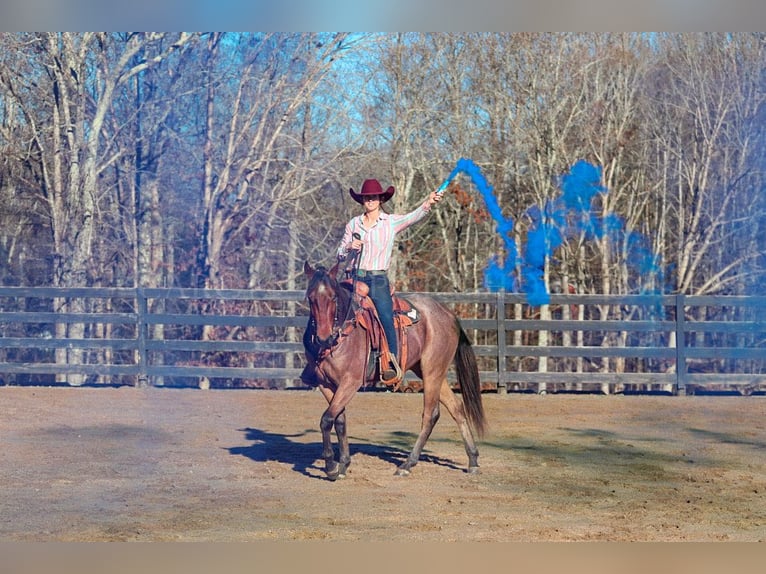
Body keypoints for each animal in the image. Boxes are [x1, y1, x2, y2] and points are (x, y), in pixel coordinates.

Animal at [304, 260, 488, 482]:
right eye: (310, 298)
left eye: (332, 297)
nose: (322, 338)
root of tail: (449, 315)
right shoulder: (326, 385)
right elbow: (338, 420)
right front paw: (343, 465)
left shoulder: (350, 382)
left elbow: (326, 420)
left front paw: (331, 466)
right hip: (432, 371)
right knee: (456, 408)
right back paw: (473, 460)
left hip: (431, 370)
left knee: (430, 414)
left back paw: (407, 464)